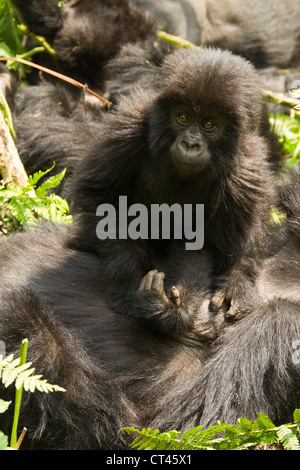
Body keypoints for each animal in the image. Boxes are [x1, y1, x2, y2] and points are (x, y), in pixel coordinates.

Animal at [68, 48, 276, 326]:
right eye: (183, 117)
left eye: (208, 124)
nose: (190, 144)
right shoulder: (128, 127)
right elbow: (98, 195)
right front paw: (130, 279)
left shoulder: (248, 170)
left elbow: (234, 246)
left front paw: (237, 283)